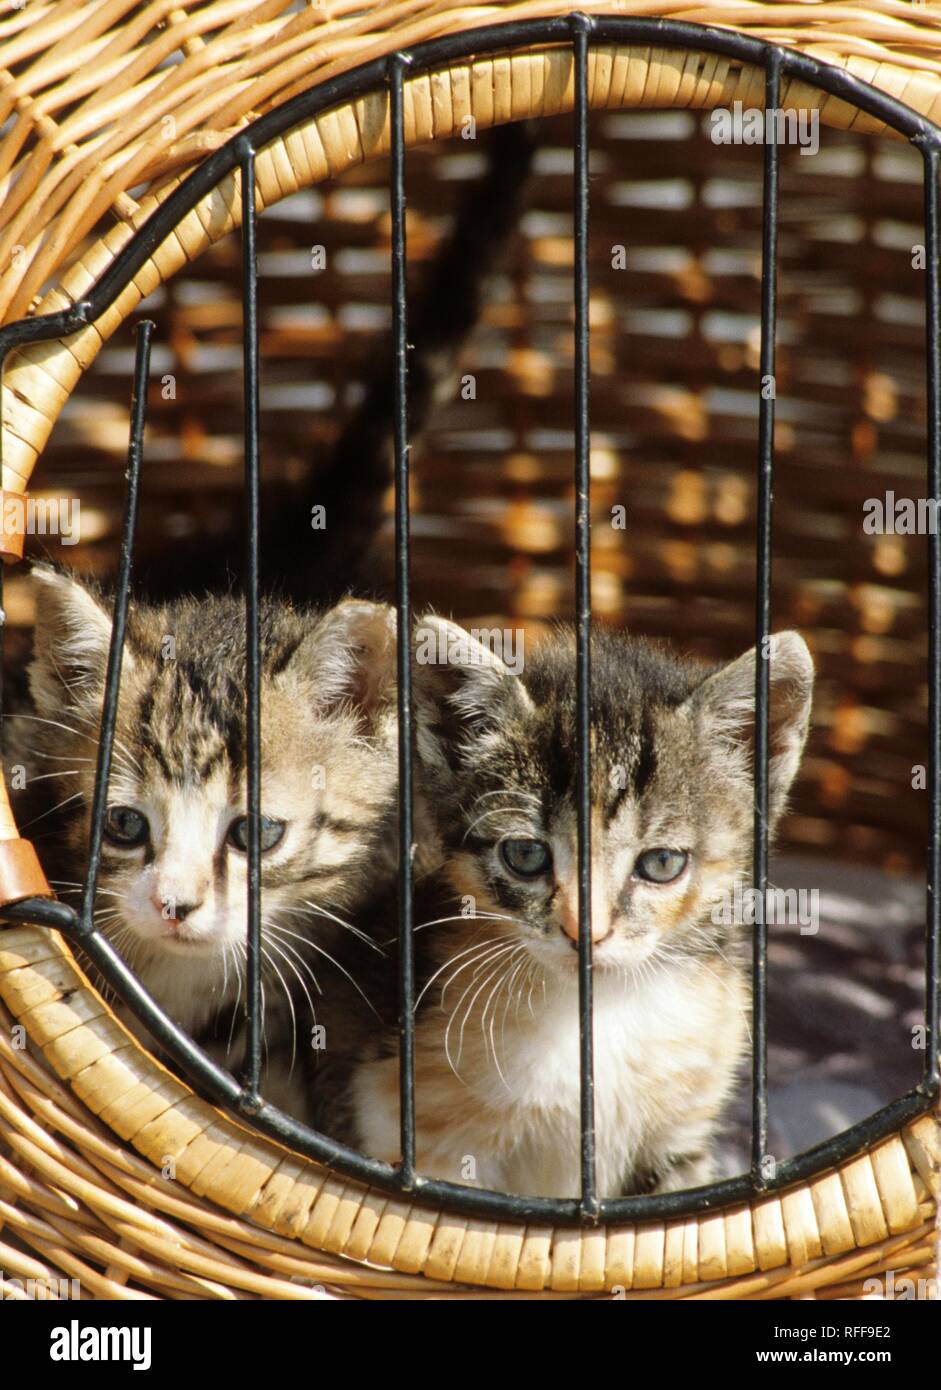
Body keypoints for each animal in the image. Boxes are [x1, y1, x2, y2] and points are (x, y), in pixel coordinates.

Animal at [333, 619, 811, 1195]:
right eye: (525, 855)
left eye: (661, 863)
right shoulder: (411, 1127)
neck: (597, 1013)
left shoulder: (679, 1140)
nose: (587, 932)